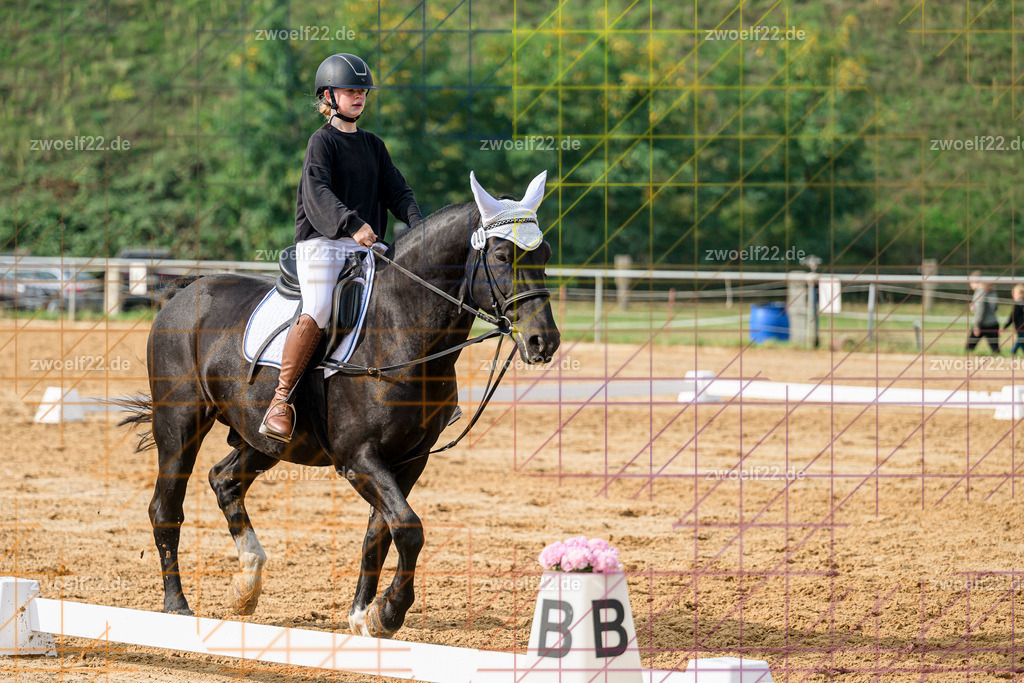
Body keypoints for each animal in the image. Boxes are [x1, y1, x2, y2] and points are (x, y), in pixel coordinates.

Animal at [118, 171, 561, 638]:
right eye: (501, 255)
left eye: (545, 253)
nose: (543, 342)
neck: (400, 326)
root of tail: (184, 293)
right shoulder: (359, 458)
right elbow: (408, 528)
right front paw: (390, 612)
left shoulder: (409, 459)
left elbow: (380, 533)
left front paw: (363, 616)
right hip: (180, 425)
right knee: (166, 507)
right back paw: (177, 605)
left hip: (264, 441)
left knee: (225, 481)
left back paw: (246, 586)